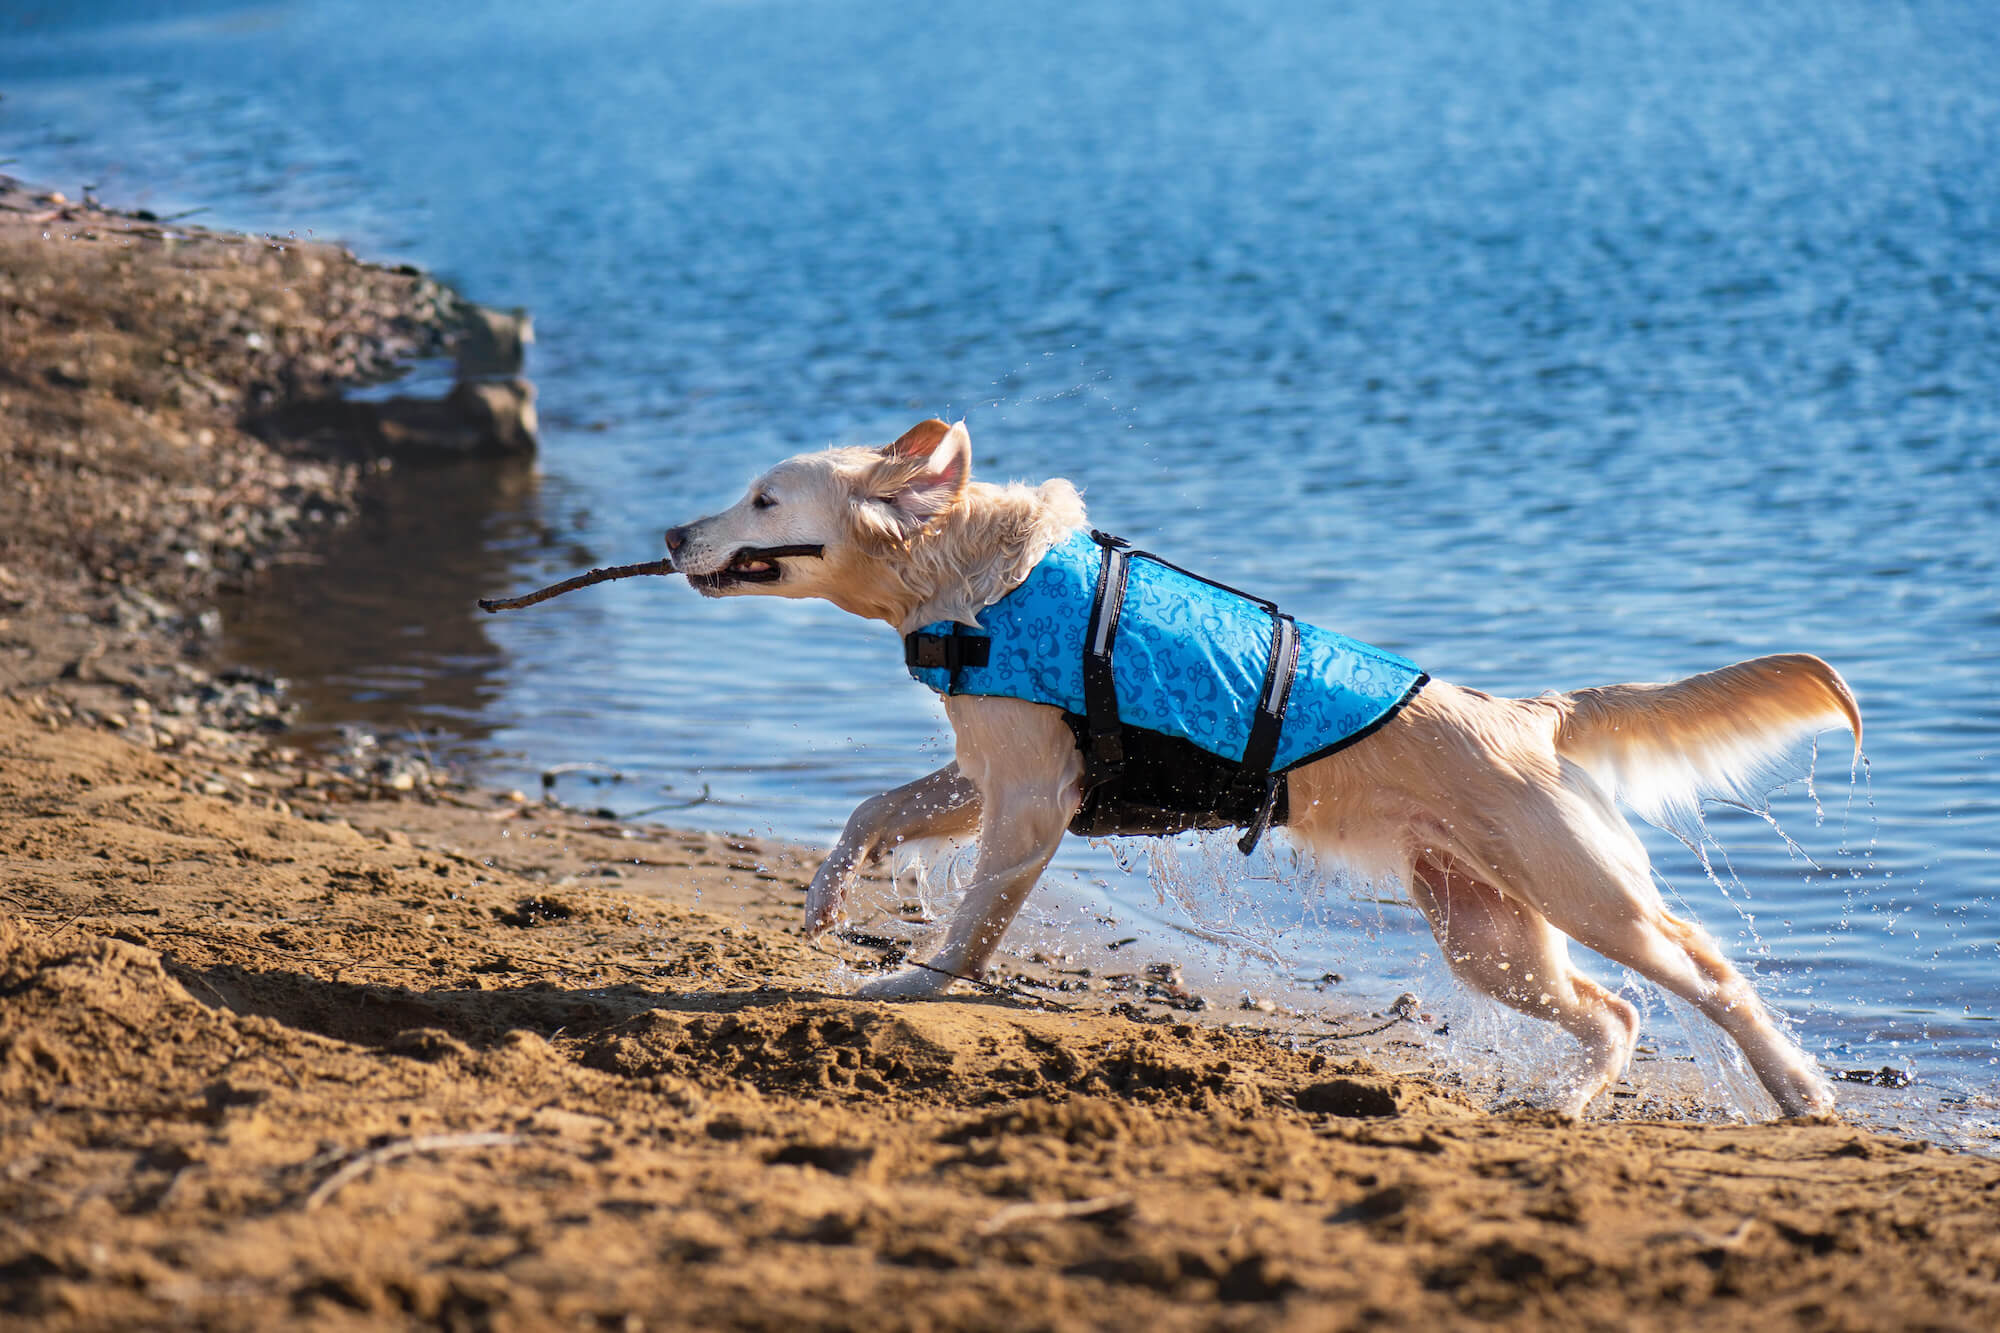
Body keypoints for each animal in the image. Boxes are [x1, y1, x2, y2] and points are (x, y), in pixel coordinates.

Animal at [668, 416, 1856, 1112]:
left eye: (764, 499)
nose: (675, 533)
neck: (973, 578)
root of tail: (1527, 715)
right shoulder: (988, 772)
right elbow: (873, 807)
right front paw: (828, 896)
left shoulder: (1034, 798)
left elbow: (973, 923)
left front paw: (915, 977)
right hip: (1486, 933)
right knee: (1614, 1014)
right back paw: (1566, 1102)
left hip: (1585, 890)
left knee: (1706, 972)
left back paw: (1796, 1086)